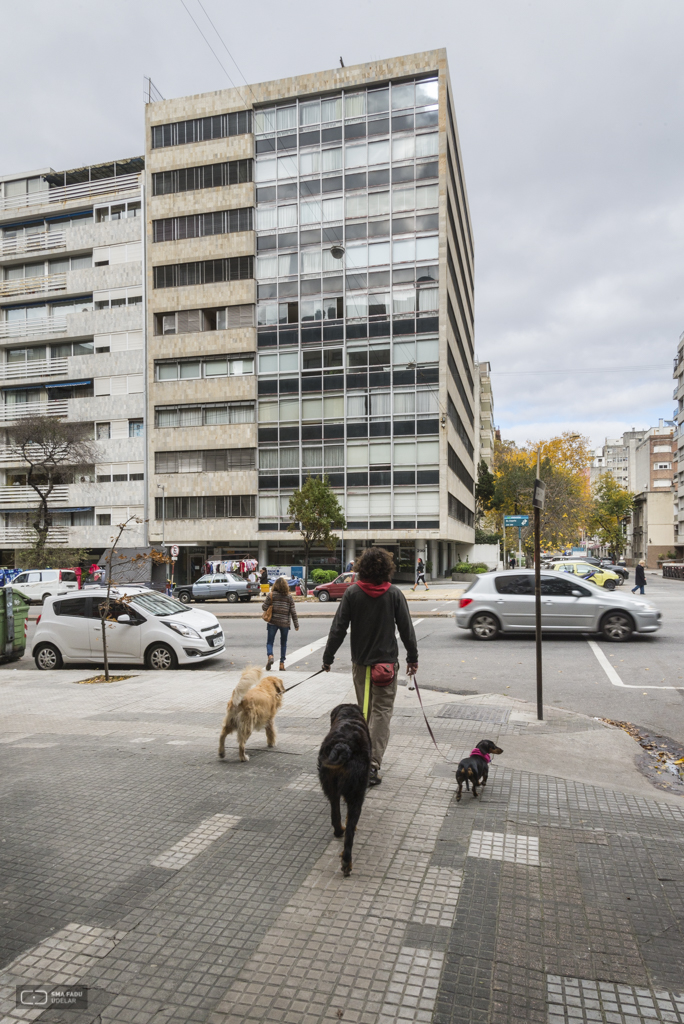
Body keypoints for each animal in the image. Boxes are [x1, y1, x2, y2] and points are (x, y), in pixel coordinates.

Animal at [317, 704, 370, 880]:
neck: (349, 715)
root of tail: (343, 745)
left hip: (329, 784)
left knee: (335, 814)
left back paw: (339, 830)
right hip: (357, 794)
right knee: (349, 834)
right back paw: (347, 862)